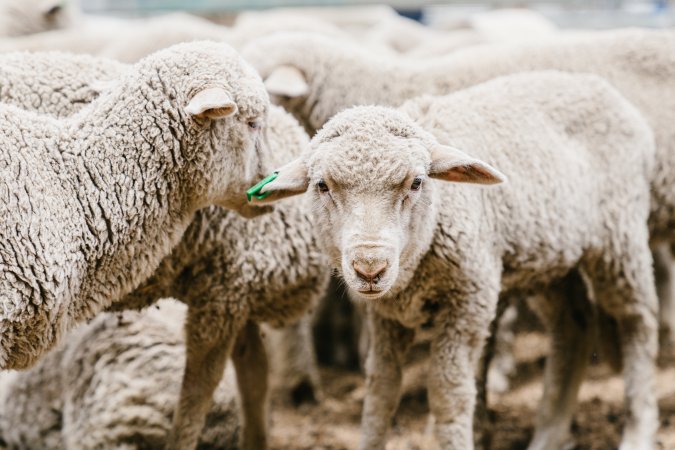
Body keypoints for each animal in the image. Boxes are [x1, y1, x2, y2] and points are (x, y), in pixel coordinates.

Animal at [254, 70, 660, 450]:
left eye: (417, 182)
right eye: (322, 186)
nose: (370, 268)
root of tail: (595, 85)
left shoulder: (468, 302)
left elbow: (449, 395)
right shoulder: (386, 316)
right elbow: (380, 392)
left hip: (618, 239)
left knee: (637, 321)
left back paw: (638, 430)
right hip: (552, 260)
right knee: (574, 325)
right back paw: (549, 434)